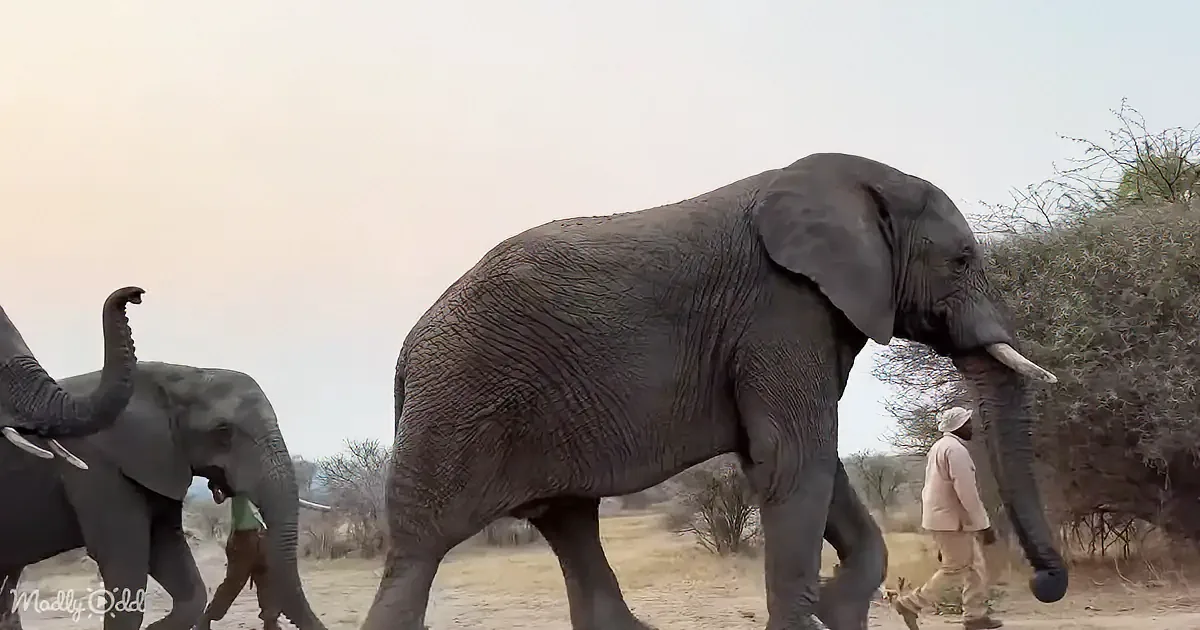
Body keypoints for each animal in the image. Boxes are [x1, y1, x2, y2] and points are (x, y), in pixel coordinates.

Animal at [0, 361, 329, 630]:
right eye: (223, 431)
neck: (177, 375)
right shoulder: (94, 467)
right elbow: (125, 563)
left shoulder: (163, 464)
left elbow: (171, 557)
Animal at [362, 152, 1069, 630]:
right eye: (962, 260)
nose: (1044, 585)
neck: (852, 183)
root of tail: (406, 352)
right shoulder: (780, 309)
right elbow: (792, 458)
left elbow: (802, 462)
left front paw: (839, 606)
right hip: (456, 406)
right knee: (420, 551)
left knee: (570, 523)